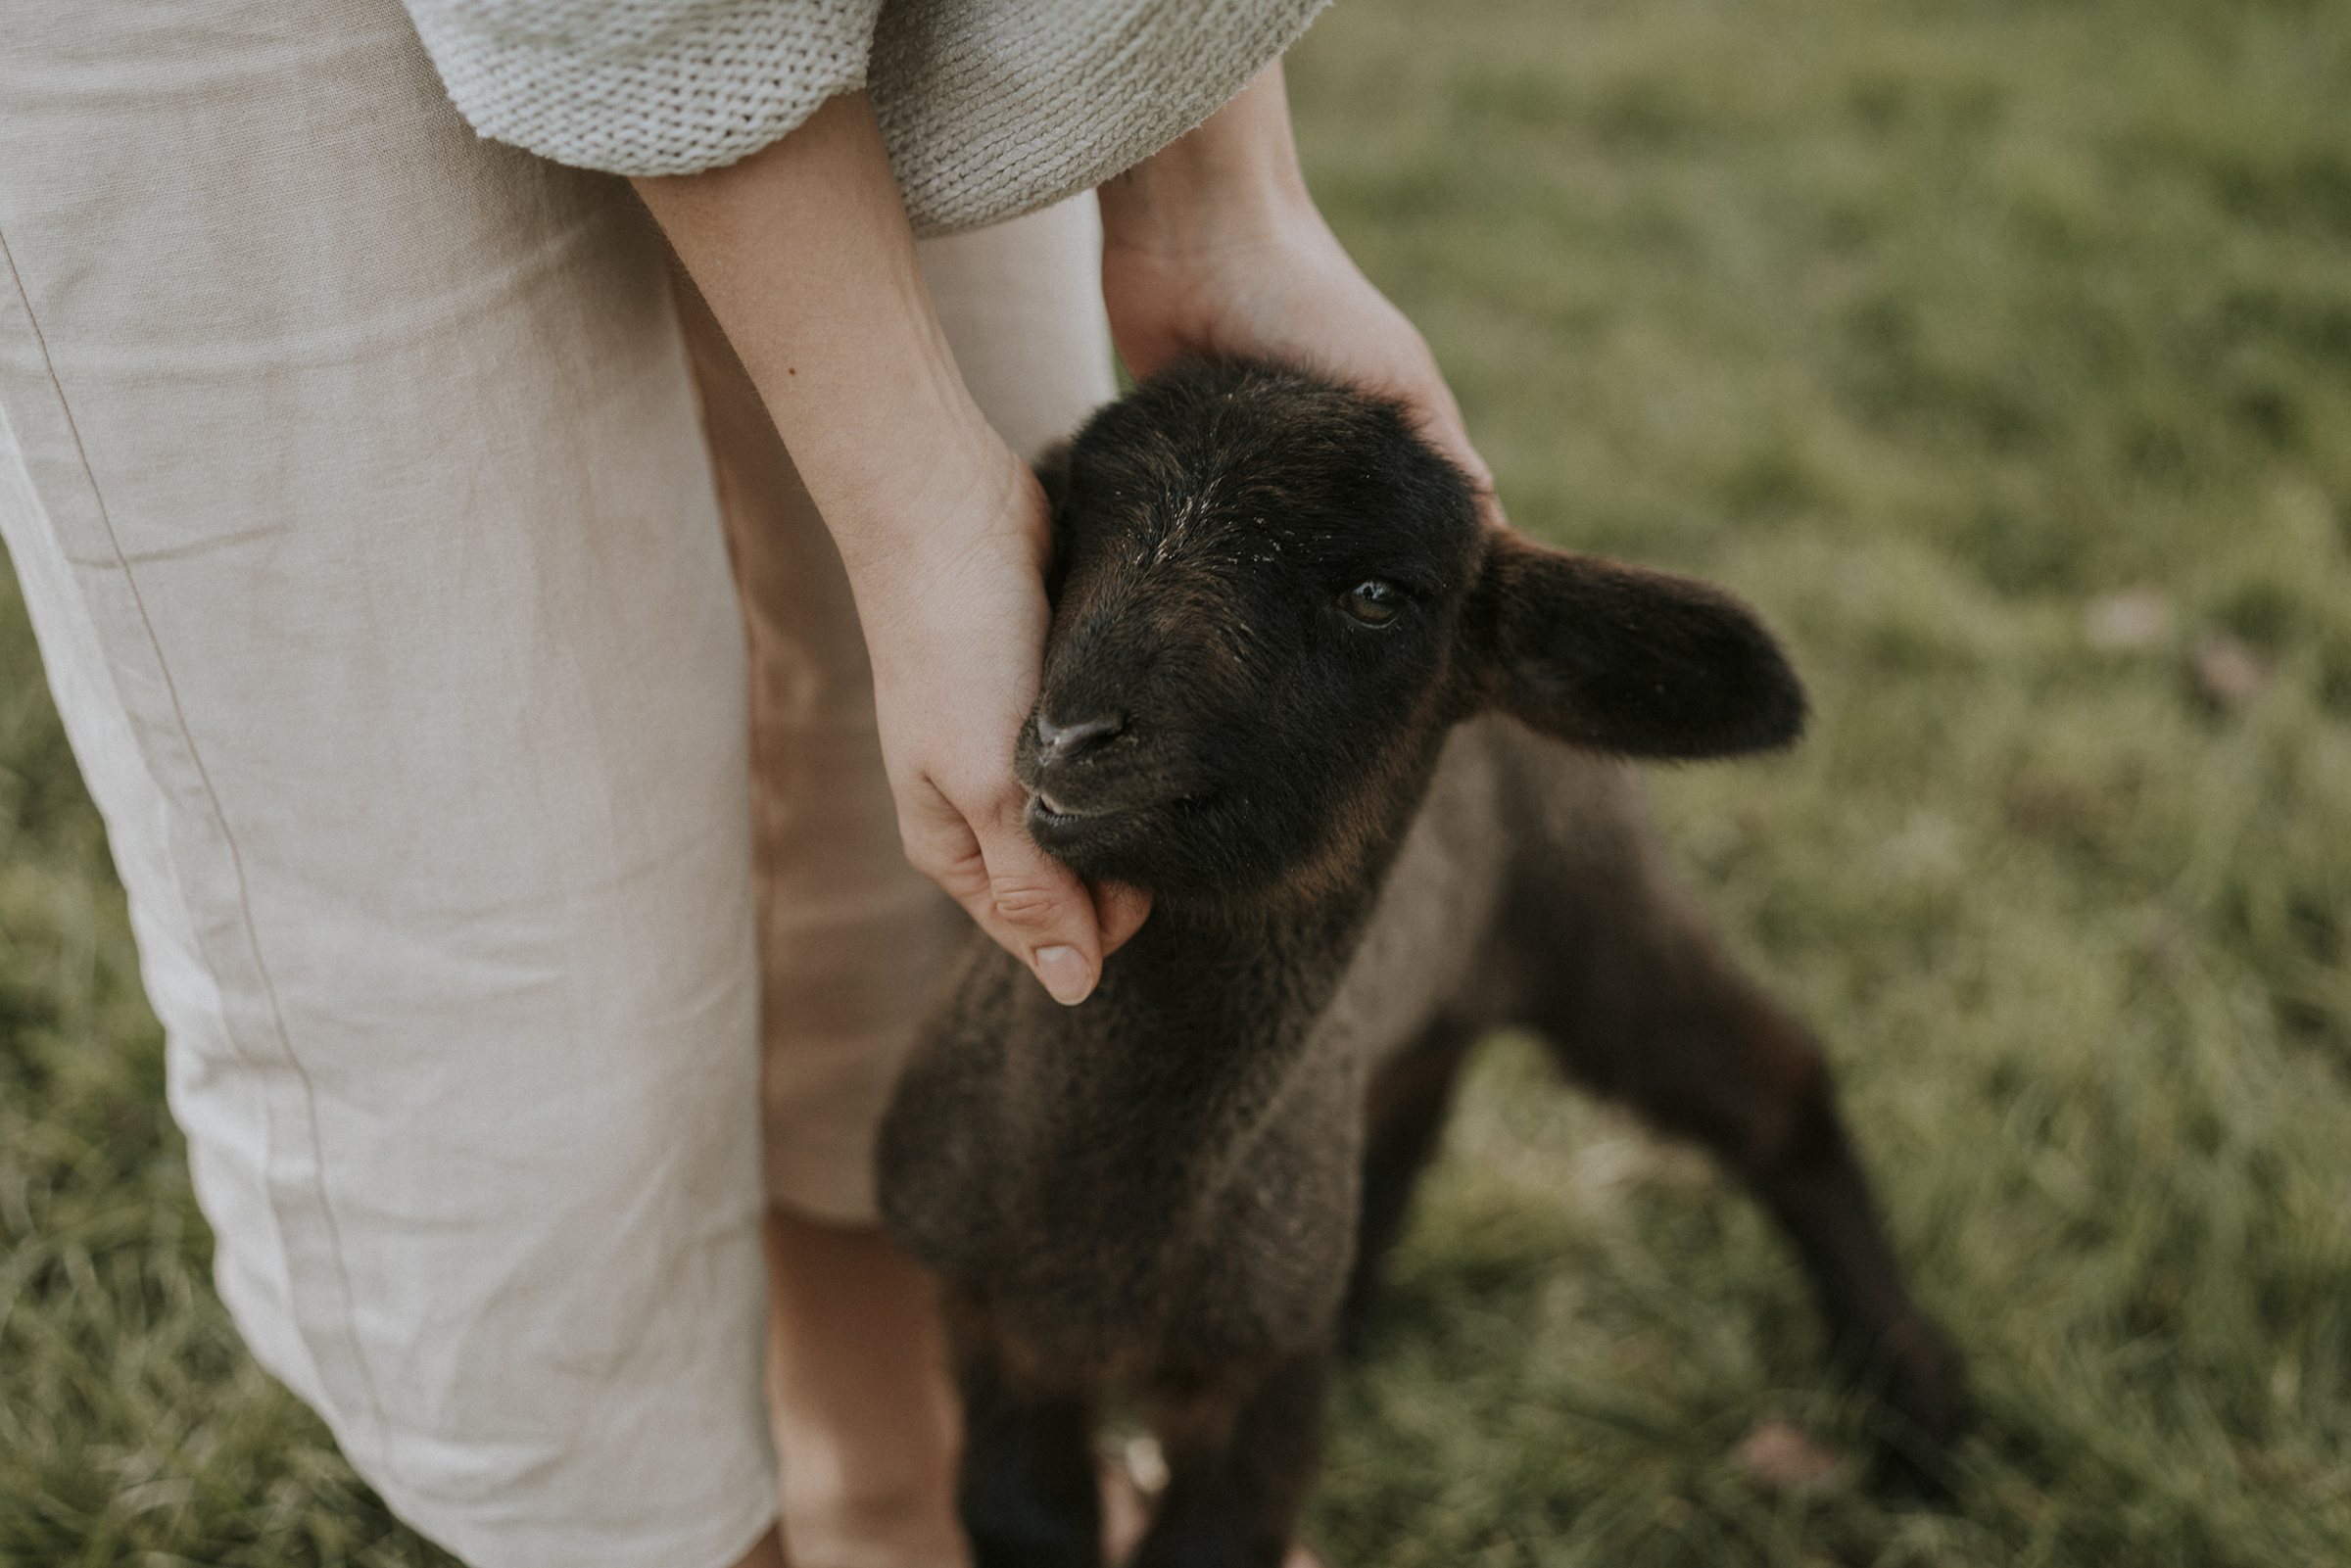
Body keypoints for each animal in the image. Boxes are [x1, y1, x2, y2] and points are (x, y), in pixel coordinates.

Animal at [876, 359, 1964, 1568]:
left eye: (1376, 595)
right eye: (1068, 518)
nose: (1070, 734)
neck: (1098, 1244)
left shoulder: (1263, 1386)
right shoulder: (983, 1320)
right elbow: (1021, 1517)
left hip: (1596, 903)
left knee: (1780, 1091)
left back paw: (1922, 1411)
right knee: (1417, 1103)